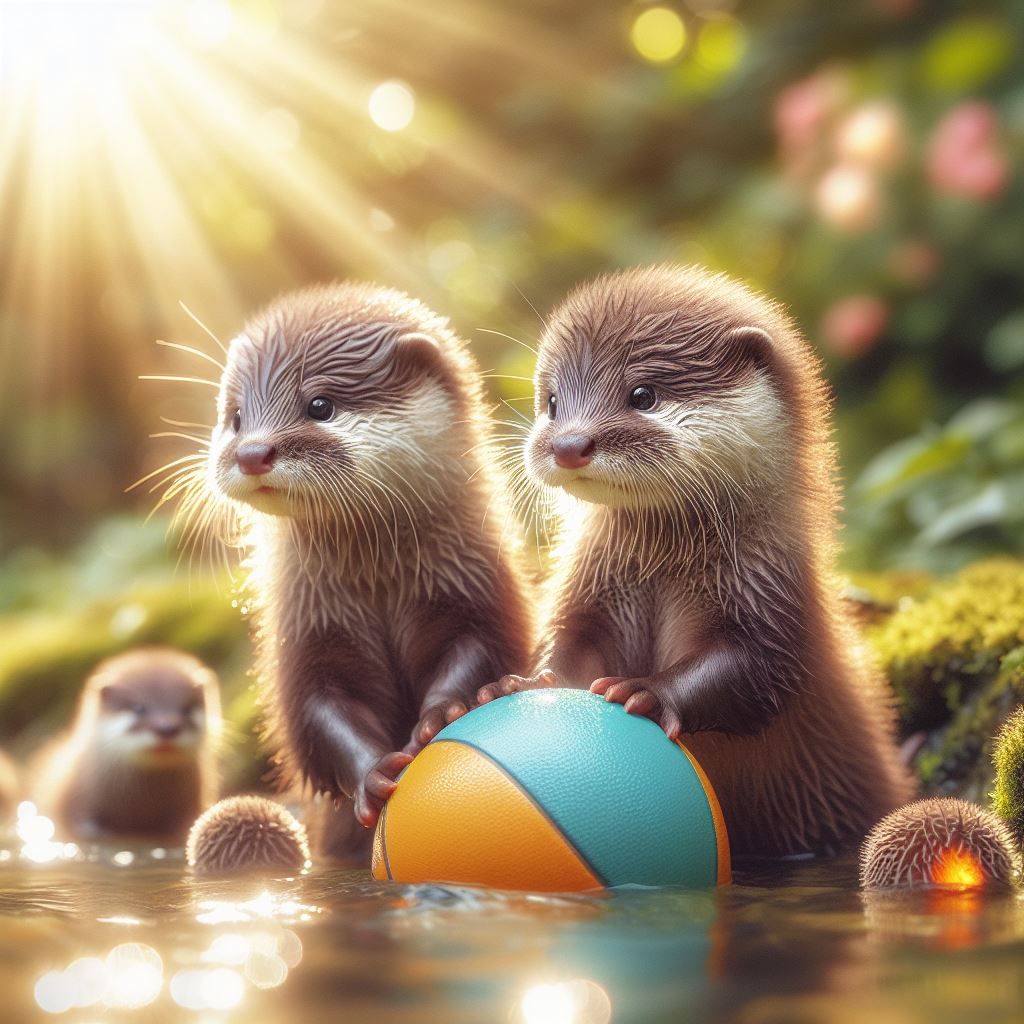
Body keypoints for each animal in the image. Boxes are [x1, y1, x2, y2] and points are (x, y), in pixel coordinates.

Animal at [203, 283, 532, 857]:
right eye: (236, 416)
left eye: (320, 404)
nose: (251, 452)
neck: (378, 585)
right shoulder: (309, 633)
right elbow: (322, 709)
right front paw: (373, 772)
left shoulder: (476, 585)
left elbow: (476, 647)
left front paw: (445, 713)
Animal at [462, 264, 914, 857]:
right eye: (553, 400)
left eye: (643, 394)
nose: (568, 444)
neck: (661, 570)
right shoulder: (589, 588)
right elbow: (570, 640)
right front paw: (520, 684)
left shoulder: (770, 590)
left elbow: (756, 670)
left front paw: (647, 691)